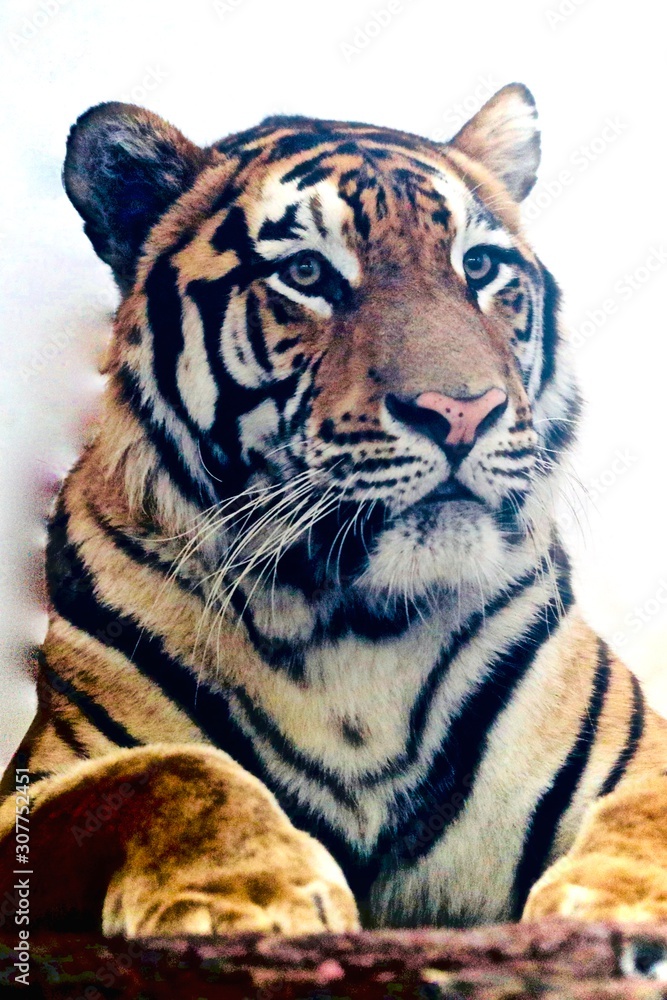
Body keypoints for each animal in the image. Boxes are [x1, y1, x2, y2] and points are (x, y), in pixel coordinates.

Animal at [2, 83, 667, 944]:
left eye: (479, 266)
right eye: (307, 272)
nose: (462, 412)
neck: (355, 623)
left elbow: (644, 814)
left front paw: (619, 904)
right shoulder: (40, 780)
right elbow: (168, 769)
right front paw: (249, 896)